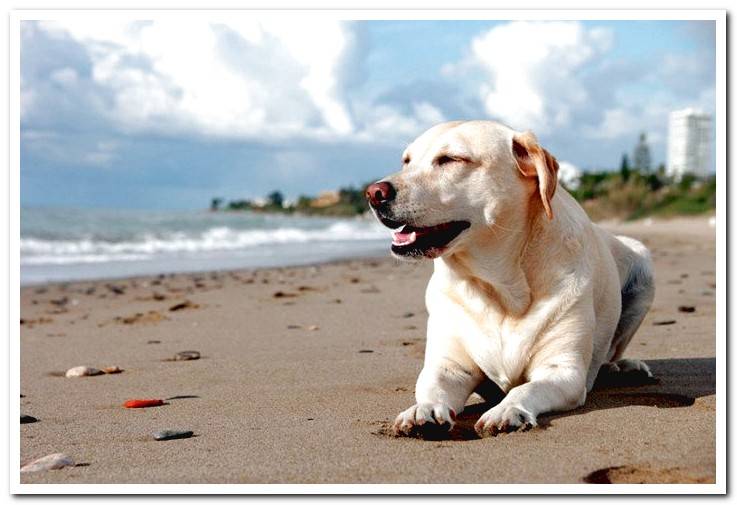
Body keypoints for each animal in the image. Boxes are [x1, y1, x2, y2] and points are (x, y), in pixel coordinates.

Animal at [366, 120, 652, 436]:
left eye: (450, 159)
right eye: (406, 161)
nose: (374, 192)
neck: (498, 287)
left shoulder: (563, 371)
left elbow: (524, 389)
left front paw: (507, 410)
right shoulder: (449, 365)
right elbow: (431, 385)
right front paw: (423, 409)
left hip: (643, 264)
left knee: (611, 351)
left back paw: (622, 367)